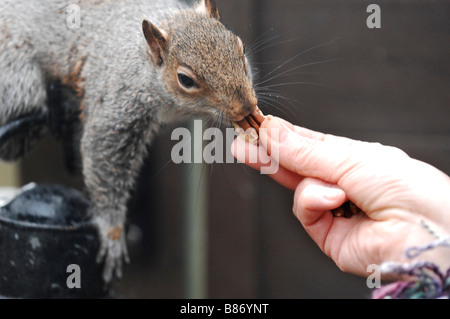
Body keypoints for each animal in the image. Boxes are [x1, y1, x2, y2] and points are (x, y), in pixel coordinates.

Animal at [0, 0, 256, 284]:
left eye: (241, 47)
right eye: (186, 80)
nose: (246, 107)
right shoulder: (118, 103)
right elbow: (104, 155)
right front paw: (112, 233)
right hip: (18, 80)